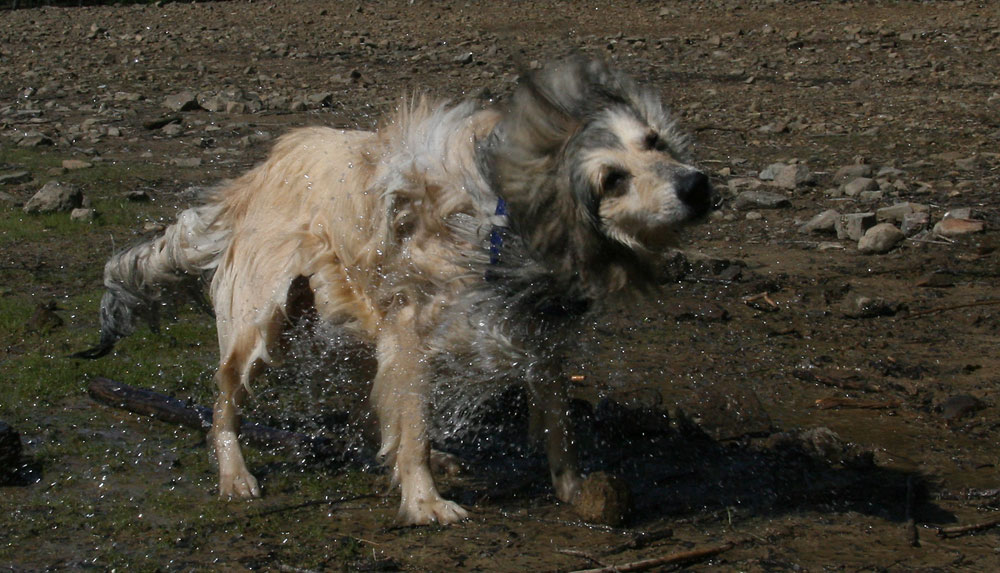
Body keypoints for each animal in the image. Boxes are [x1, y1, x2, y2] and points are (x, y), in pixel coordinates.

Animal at [80, 57, 720, 524]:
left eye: (655, 142)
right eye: (612, 179)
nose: (698, 186)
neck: (502, 219)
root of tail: (261, 169)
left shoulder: (537, 332)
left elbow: (556, 420)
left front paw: (571, 485)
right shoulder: (412, 327)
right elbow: (409, 424)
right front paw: (423, 500)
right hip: (259, 325)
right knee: (222, 404)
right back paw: (235, 474)